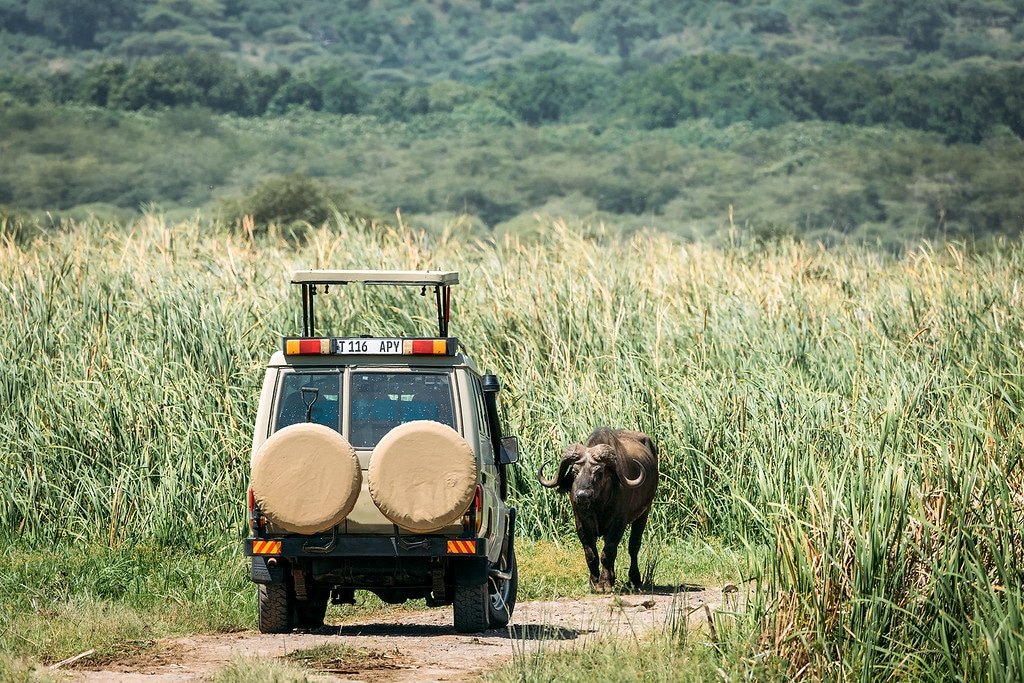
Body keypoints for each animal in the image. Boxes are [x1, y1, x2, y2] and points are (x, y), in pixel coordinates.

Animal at [537, 428, 659, 592]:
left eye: (599, 472)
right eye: (575, 471)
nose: (583, 495)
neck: (599, 505)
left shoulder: (619, 522)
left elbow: (608, 552)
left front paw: (604, 584)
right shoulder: (581, 522)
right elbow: (591, 553)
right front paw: (595, 582)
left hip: (644, 512)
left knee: (634, 545)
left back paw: (635, 579)